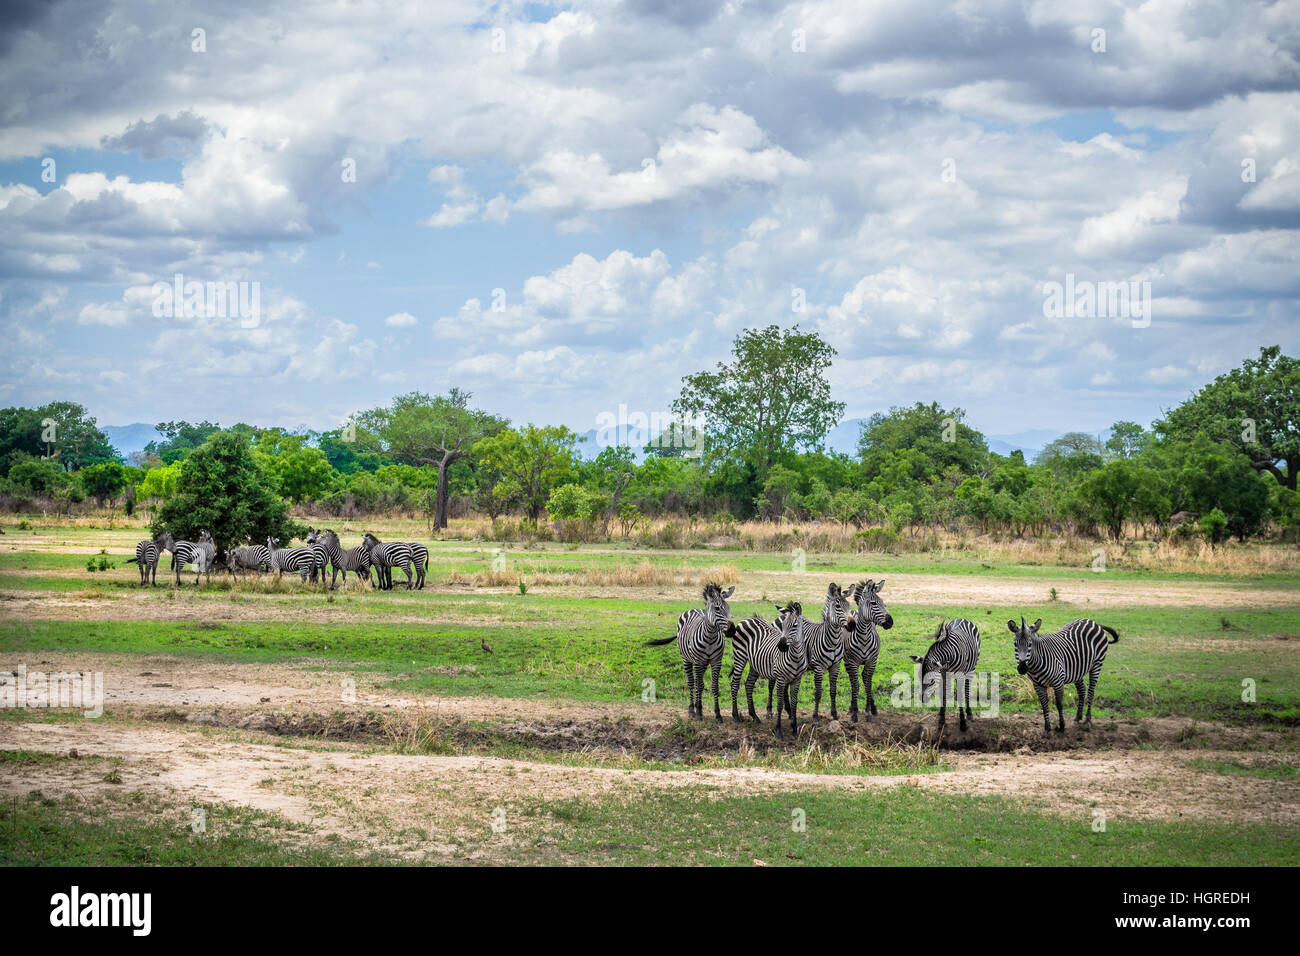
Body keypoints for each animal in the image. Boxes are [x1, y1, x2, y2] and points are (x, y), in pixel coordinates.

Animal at [644, 580, 738, 723]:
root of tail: (693, 609)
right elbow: (698, 684)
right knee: (691, 682)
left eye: (729, 608)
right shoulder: (698, 662)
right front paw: (698, 712)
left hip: (703, 663)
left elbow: (714, 686)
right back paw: (691, 710)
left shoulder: (716, 661)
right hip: (687, 659)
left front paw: (717, 714)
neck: (710, 638)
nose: (732, 630)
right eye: (717, 608)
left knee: (699, 683)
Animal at [842, 580, 894, 723]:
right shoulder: (853, 662)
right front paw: (855, 712)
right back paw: (852, 707)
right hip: (847, 661)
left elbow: (868, 683)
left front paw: (869, 711)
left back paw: (872, 707)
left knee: (864, 678)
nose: (890, 622)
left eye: (883, 602)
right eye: (873, 603)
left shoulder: (872, 661)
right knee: (852, 680)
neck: (864, 637)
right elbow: (856, 684)